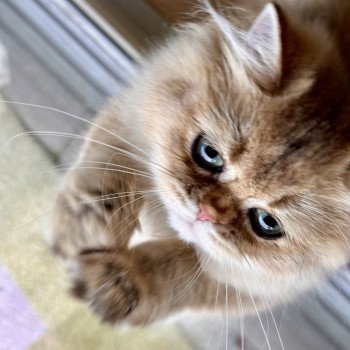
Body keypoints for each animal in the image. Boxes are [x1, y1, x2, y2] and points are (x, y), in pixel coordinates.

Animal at [50, 0, 350, 326]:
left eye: (267, 223)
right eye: (208, 153)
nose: (206, 212)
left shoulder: (247, 286)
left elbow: (173, 268)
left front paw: (115, 283)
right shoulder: (132, 117)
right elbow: (109, 181)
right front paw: (83, 234)